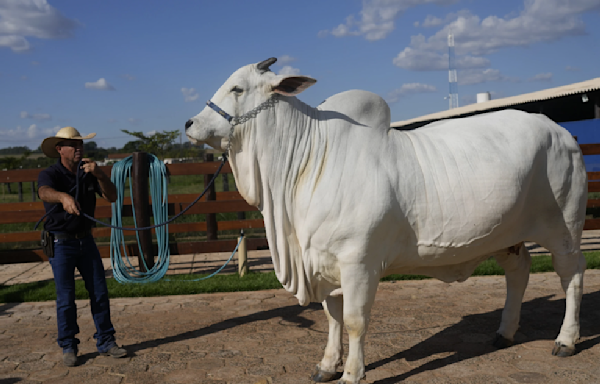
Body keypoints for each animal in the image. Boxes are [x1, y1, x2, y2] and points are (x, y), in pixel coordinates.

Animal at [185, 57, 588, 384]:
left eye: (237, 88)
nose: (190, 123)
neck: (307, 162)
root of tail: (562, 131)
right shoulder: (324, 262)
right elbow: (332, 317)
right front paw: (327, 366)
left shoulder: (358, 262)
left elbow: (354, 320)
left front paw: (352, 373)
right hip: (507, 235)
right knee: (518, 272)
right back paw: (505, 332)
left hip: (563, 228)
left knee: (572, 274)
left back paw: (566, 340)